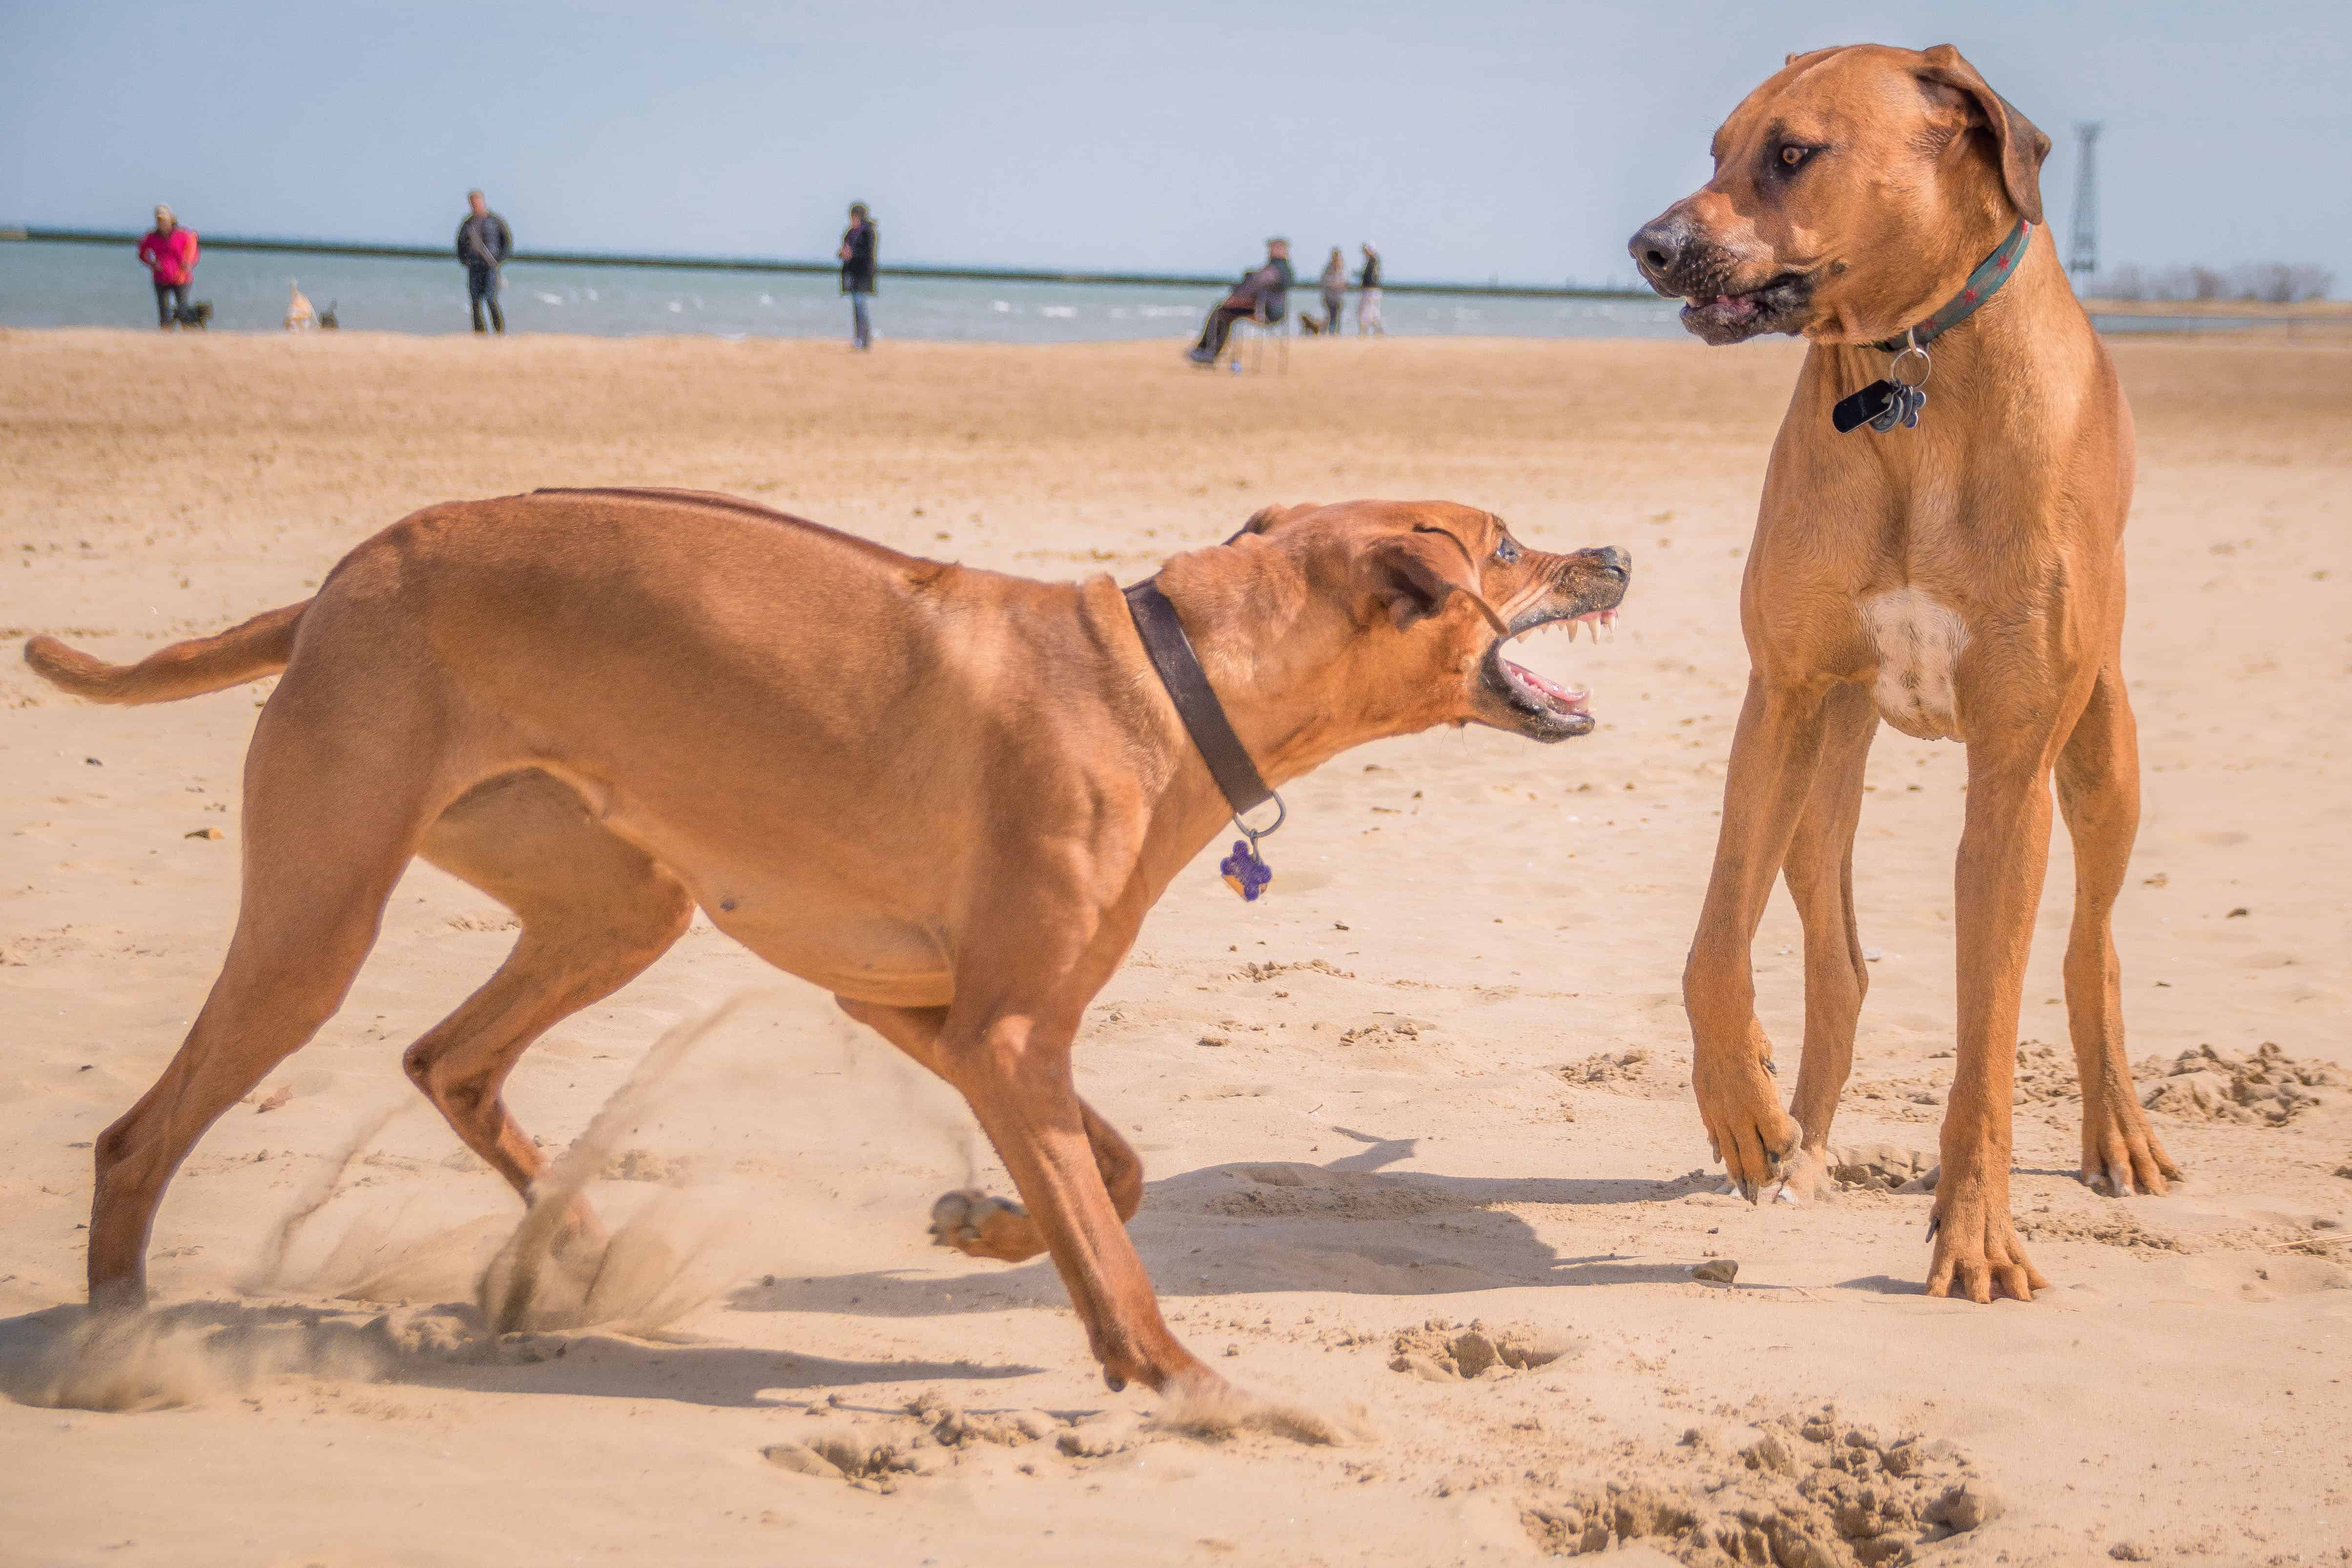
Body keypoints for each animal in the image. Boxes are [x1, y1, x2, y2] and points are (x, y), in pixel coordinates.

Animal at [27, 494, 1628, 1401]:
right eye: (1505, 547)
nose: (1616, 551)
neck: (1169, 678)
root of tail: (333, 585)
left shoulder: (928, 1006)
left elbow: (1106, 1173)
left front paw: (984, 1223)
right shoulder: (996, 1028)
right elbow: (1109, 1234)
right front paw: (1175, 1375)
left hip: (620, 905)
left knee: (447, 1058)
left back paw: (573, 1253)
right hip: (319, 919)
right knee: (135, 1133)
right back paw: (122, 1338)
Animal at [1628, 42, 2173, 1307]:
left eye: (1794, 153)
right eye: (1717, 149)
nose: (1650, 245)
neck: (1911, 363)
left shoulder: (2014, 768)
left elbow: (1989, 1039)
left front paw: (1976, 1236)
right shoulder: (1779, 700)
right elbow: (1714, 945)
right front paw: (1744, 1108)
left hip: (2102, 749)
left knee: (2092, 946)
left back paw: (2116, 1132)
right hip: (1827, 776)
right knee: (1838, 964)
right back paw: (1803, 1145)